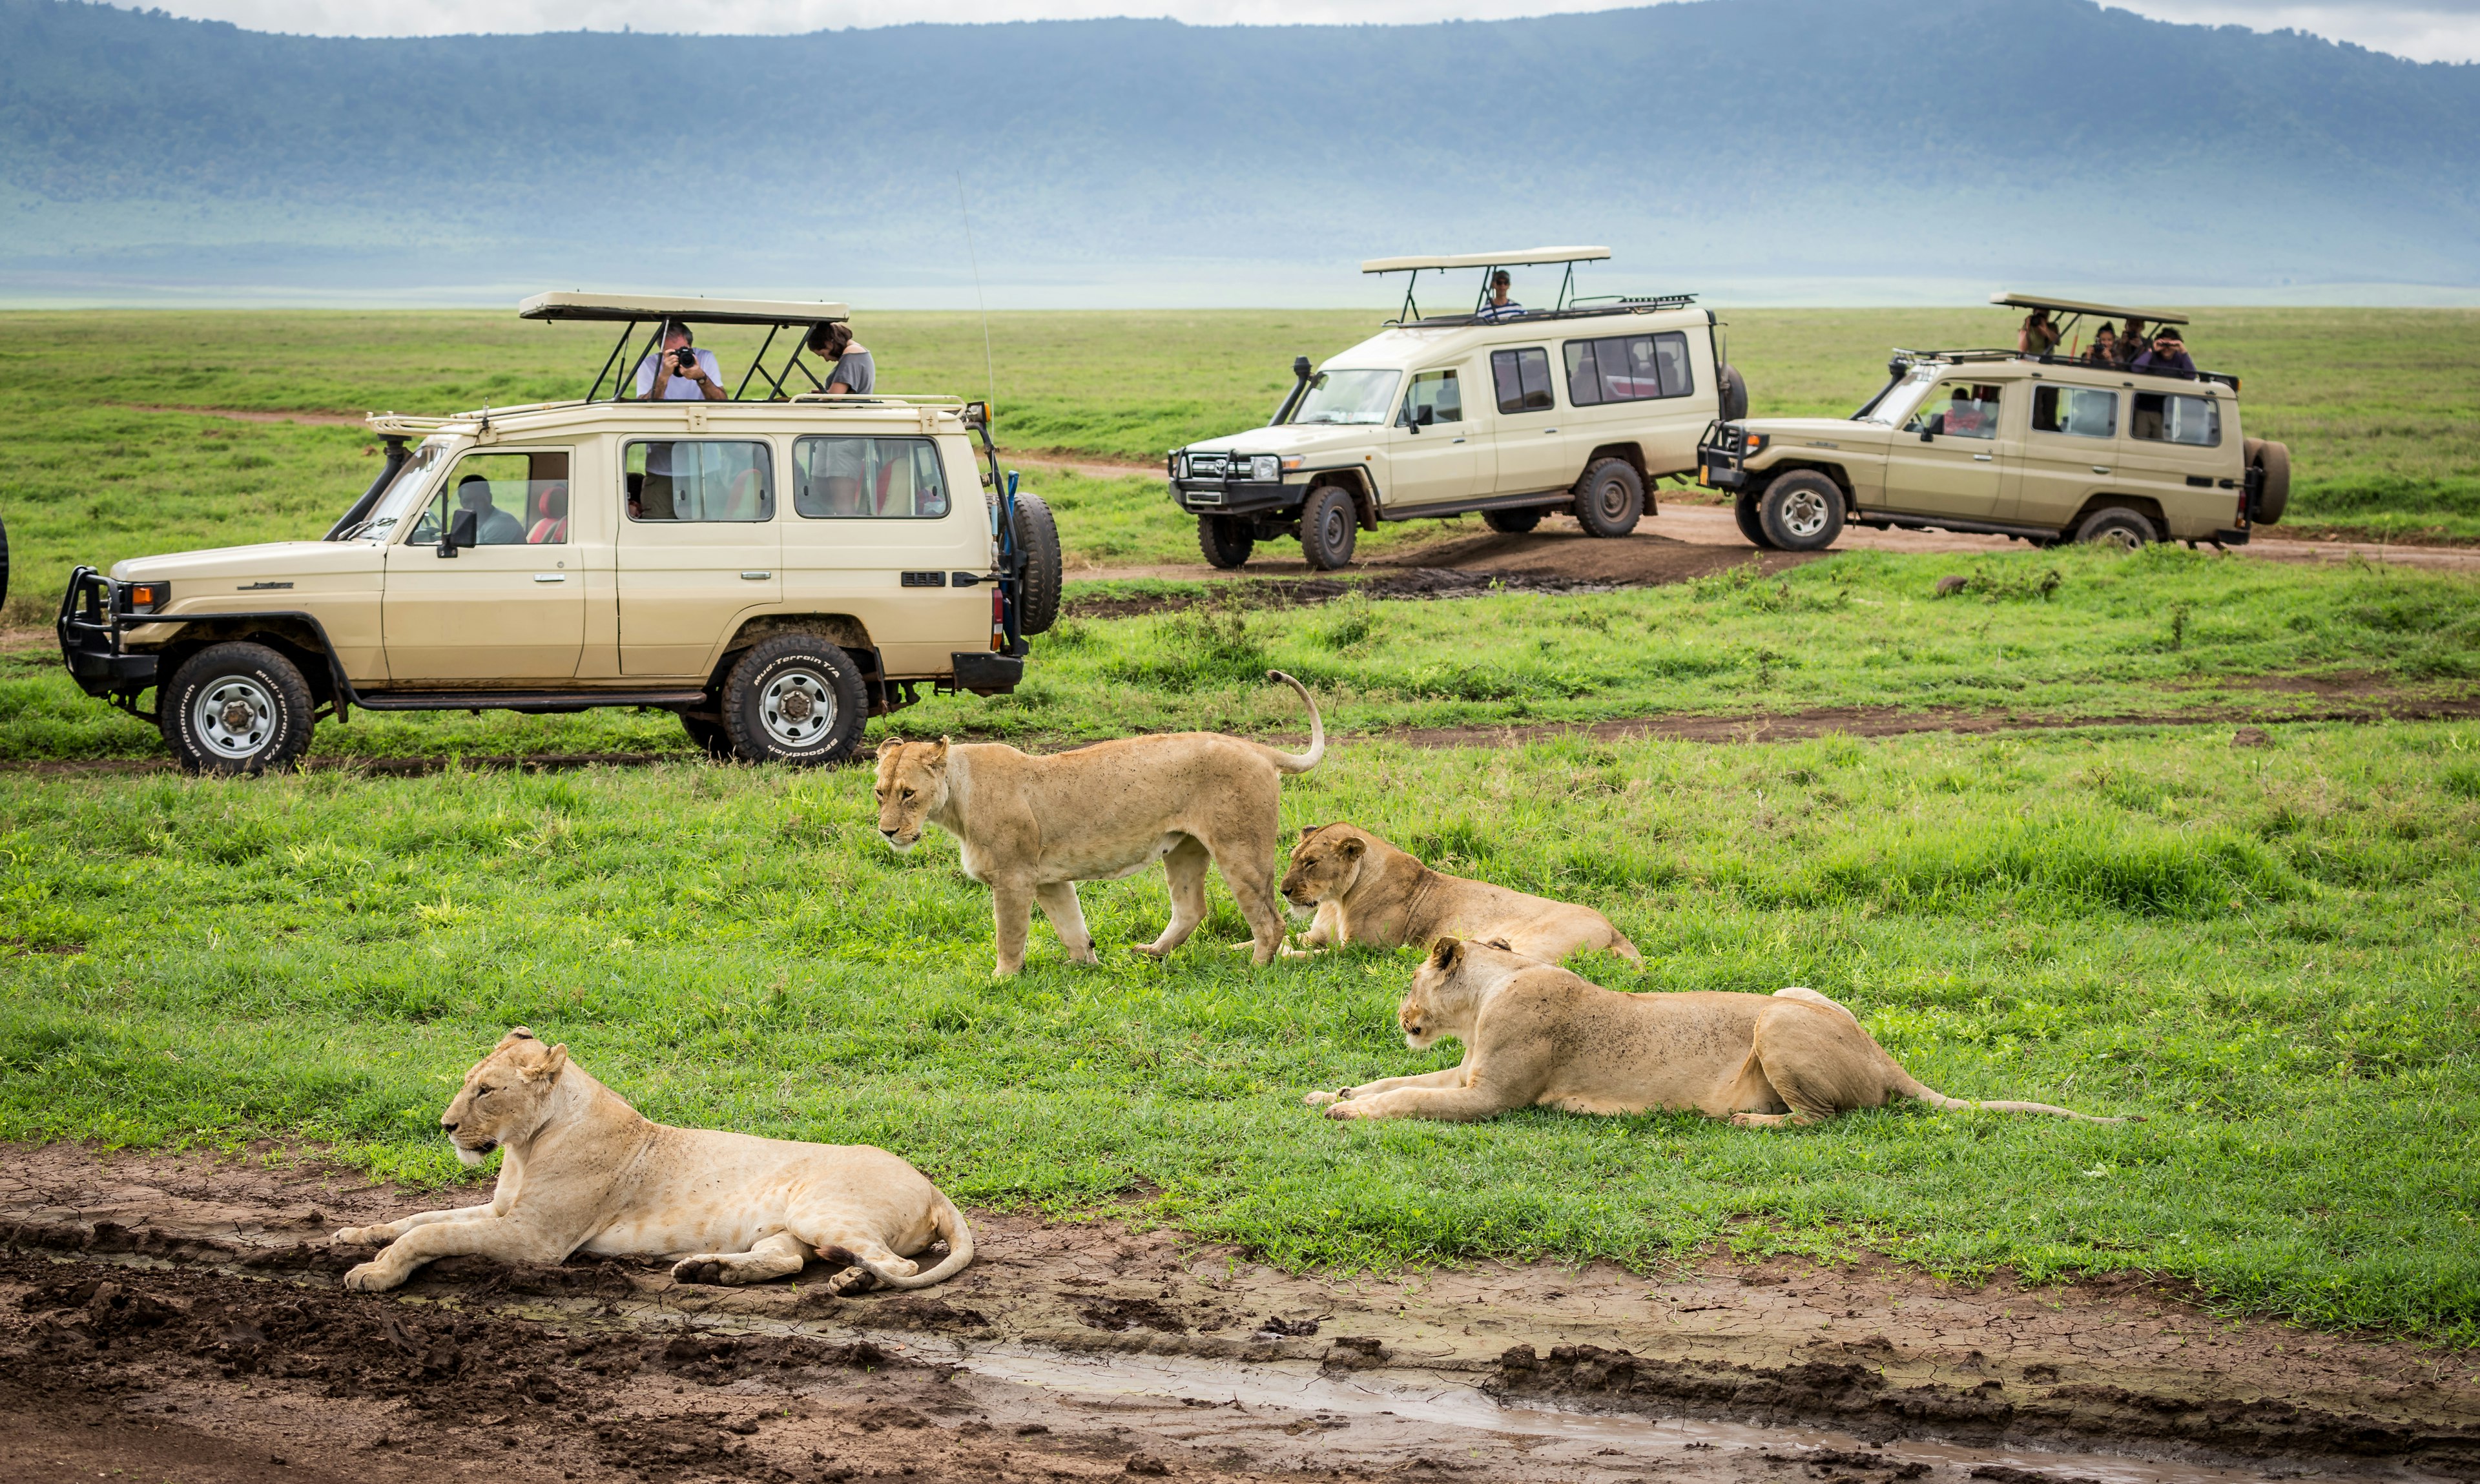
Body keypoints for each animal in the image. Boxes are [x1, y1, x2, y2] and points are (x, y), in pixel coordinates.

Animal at [335, 1037, 972, 1300]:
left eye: (486, 1091)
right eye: (469, 1083)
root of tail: (933, 1185)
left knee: (895, 1266)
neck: (524, 1147)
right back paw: (709, 1272)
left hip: (821, 1211)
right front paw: (354, 1234)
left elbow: (431, 1234)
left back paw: (852, 1283)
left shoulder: (534, 1239)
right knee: (787, 1260)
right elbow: (419, 1218)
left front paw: (375, 1273)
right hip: (791, 1227)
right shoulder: (500, 1210)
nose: (445, 1126)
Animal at [883, 670, 1329, 978]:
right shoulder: (1047, 878)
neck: (957, 796)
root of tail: (1258, 748)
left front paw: (1001, 978)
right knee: (1191, 908)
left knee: (1271, 921)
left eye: (908, 794)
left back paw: (1255, 969)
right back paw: (1152, 953)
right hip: (1185, 848)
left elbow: (1008, 934)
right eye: (879, 793)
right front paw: (1085, 965)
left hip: (1240, 849)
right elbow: (1070, 925)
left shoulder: (1014, 876)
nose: (887, 832)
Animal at [1279, 819, 1646, 973]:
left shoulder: (1359, 950)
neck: (1337, 899)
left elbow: (1306, 956)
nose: (1283, 891)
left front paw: (1273, 959)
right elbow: (1283, 941)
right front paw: (1269, 947)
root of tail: (1614, 929)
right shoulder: (1317, 934)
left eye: (1311, 863)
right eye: (1294, 856)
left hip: (1543, 939)